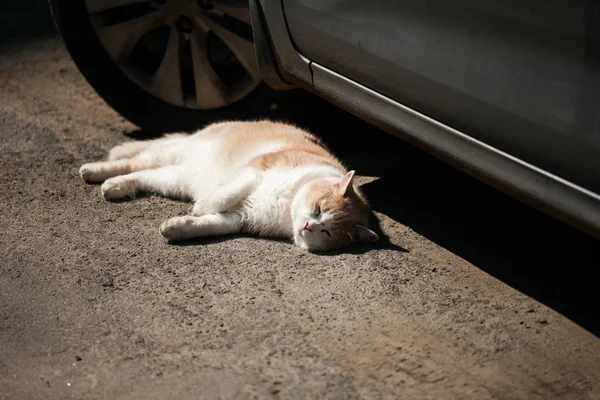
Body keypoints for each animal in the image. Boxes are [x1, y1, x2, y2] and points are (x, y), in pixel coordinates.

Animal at [79, 119, 378, 250]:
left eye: (326, 232)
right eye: (317, 210)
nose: (308, 226)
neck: (287, 208)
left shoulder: (240, 218)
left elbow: (208, 224)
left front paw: (177, 227)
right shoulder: (256, 169)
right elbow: (227, 194)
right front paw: (203, 205)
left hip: (174, 178)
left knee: (141, 174)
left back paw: (114, 187)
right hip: (175, 152)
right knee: (136, 159)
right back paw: (96, 169)